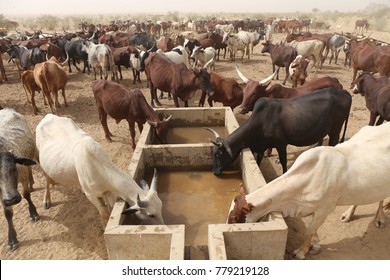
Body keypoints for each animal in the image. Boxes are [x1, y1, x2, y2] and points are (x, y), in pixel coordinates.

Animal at [35, 115, 164, 226]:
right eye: (151, 215)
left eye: (161, 205)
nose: (163, 225)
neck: (99, 167)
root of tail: (48, 116)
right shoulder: (91, 196)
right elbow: (104, 213)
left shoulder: (109, 194)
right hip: (41, 160)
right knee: (47, 177)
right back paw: (46, 200)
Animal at [209, 87, 352, 175]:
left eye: (218, 154)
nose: (215, 172)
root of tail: (345, 93)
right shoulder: (261, 147)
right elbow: (258, 161)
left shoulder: (281, 144)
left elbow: (283, 162)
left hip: (335, 131)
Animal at [227, 123, 390, 260]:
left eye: (234, 217)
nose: (229, 225)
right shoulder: (311, 207)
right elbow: (313, 229)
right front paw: (315, 244)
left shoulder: (325, 209)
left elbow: (310, 230)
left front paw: (301, 251)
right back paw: (348, 214)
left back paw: (380, 218)